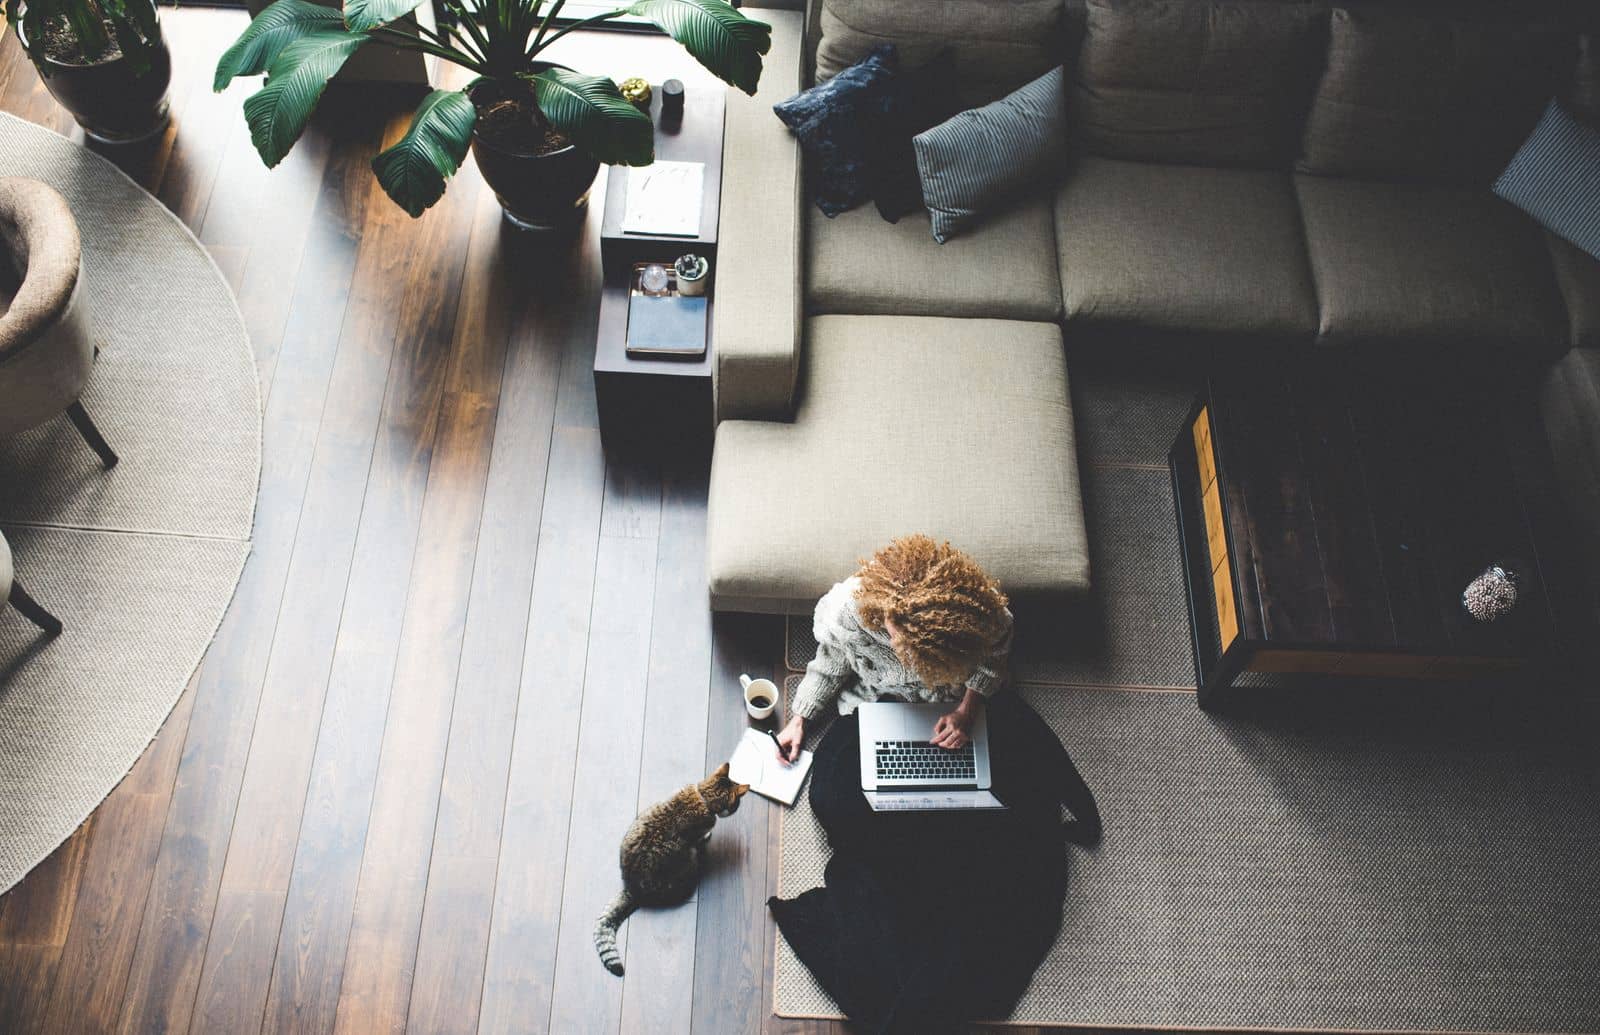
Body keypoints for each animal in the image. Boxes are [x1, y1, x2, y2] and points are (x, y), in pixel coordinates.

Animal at [598, 761, 752, 972]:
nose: (737, 808)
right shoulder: (698, 834)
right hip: (688, 860)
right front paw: (707, 837)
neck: (704, 797)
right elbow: (702, 836)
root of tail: (632, 888)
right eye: (737, 805)